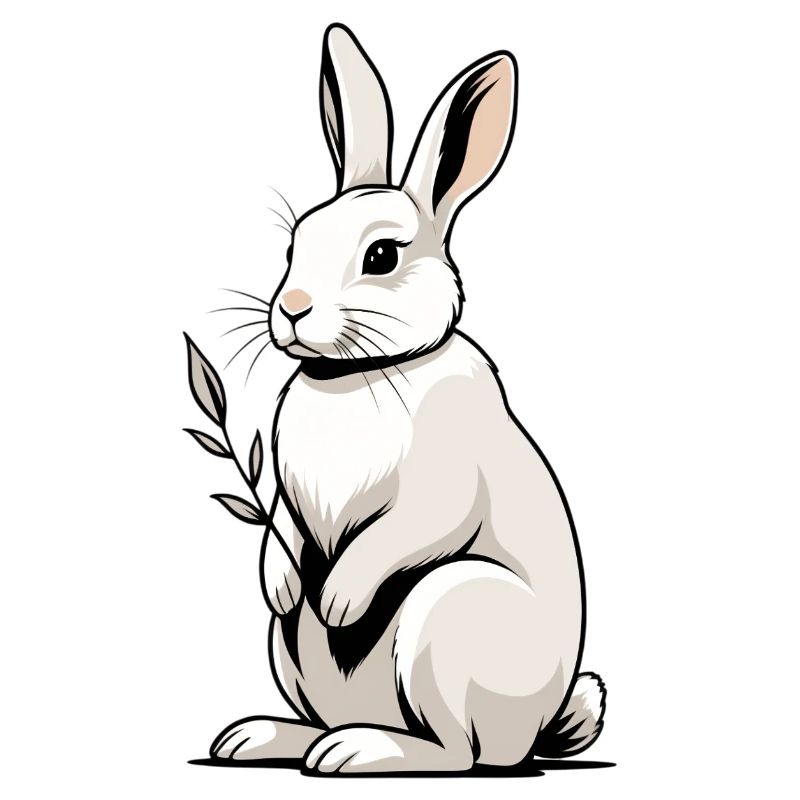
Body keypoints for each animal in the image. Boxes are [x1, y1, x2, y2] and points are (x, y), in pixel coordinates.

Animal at [209, 23, 606, 774]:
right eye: (295, 243)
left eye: (382, 257)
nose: (293, 309)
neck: (362, 369)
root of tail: (536, 728)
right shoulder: (285, 493)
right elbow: (284, 529)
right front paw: (283, 583)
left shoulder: (440, 488)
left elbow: (404, 531)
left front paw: (338, 601)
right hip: (289, 649)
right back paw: (262, 738)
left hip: (445, 618)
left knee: (458, 753)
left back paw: (358, 751)